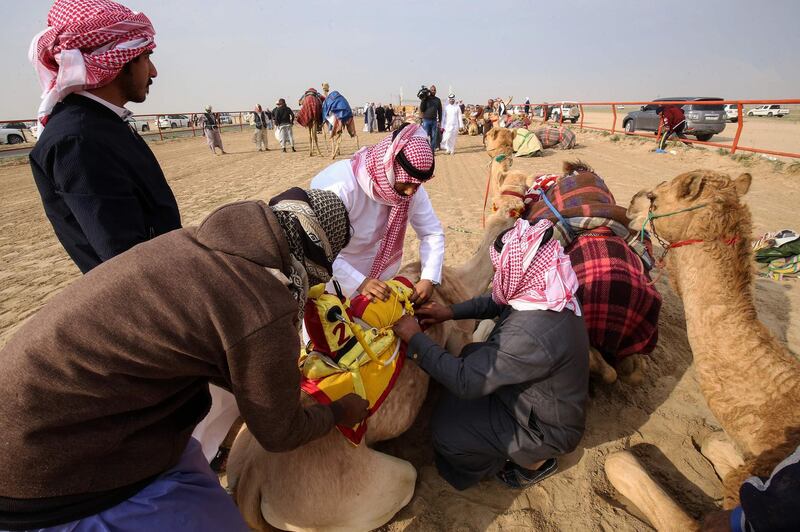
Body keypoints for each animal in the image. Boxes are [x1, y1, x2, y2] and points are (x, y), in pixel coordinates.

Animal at [223, 210, 520, 528]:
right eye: (525, 208)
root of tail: (251, 478)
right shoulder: (457, 337)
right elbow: (474, 344)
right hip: (362, 491)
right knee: (404, 478)